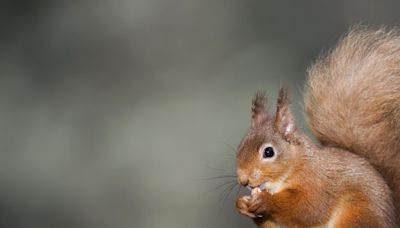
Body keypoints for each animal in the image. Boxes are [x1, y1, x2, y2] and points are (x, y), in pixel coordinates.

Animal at [234, 27, 400, 227]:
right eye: (239, 147)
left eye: (268, 152)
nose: (243, 180)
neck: (299, 165)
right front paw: (242, 204)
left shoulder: (318, 184)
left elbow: (309, 208)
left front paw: (265, 201)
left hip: (356, 218)